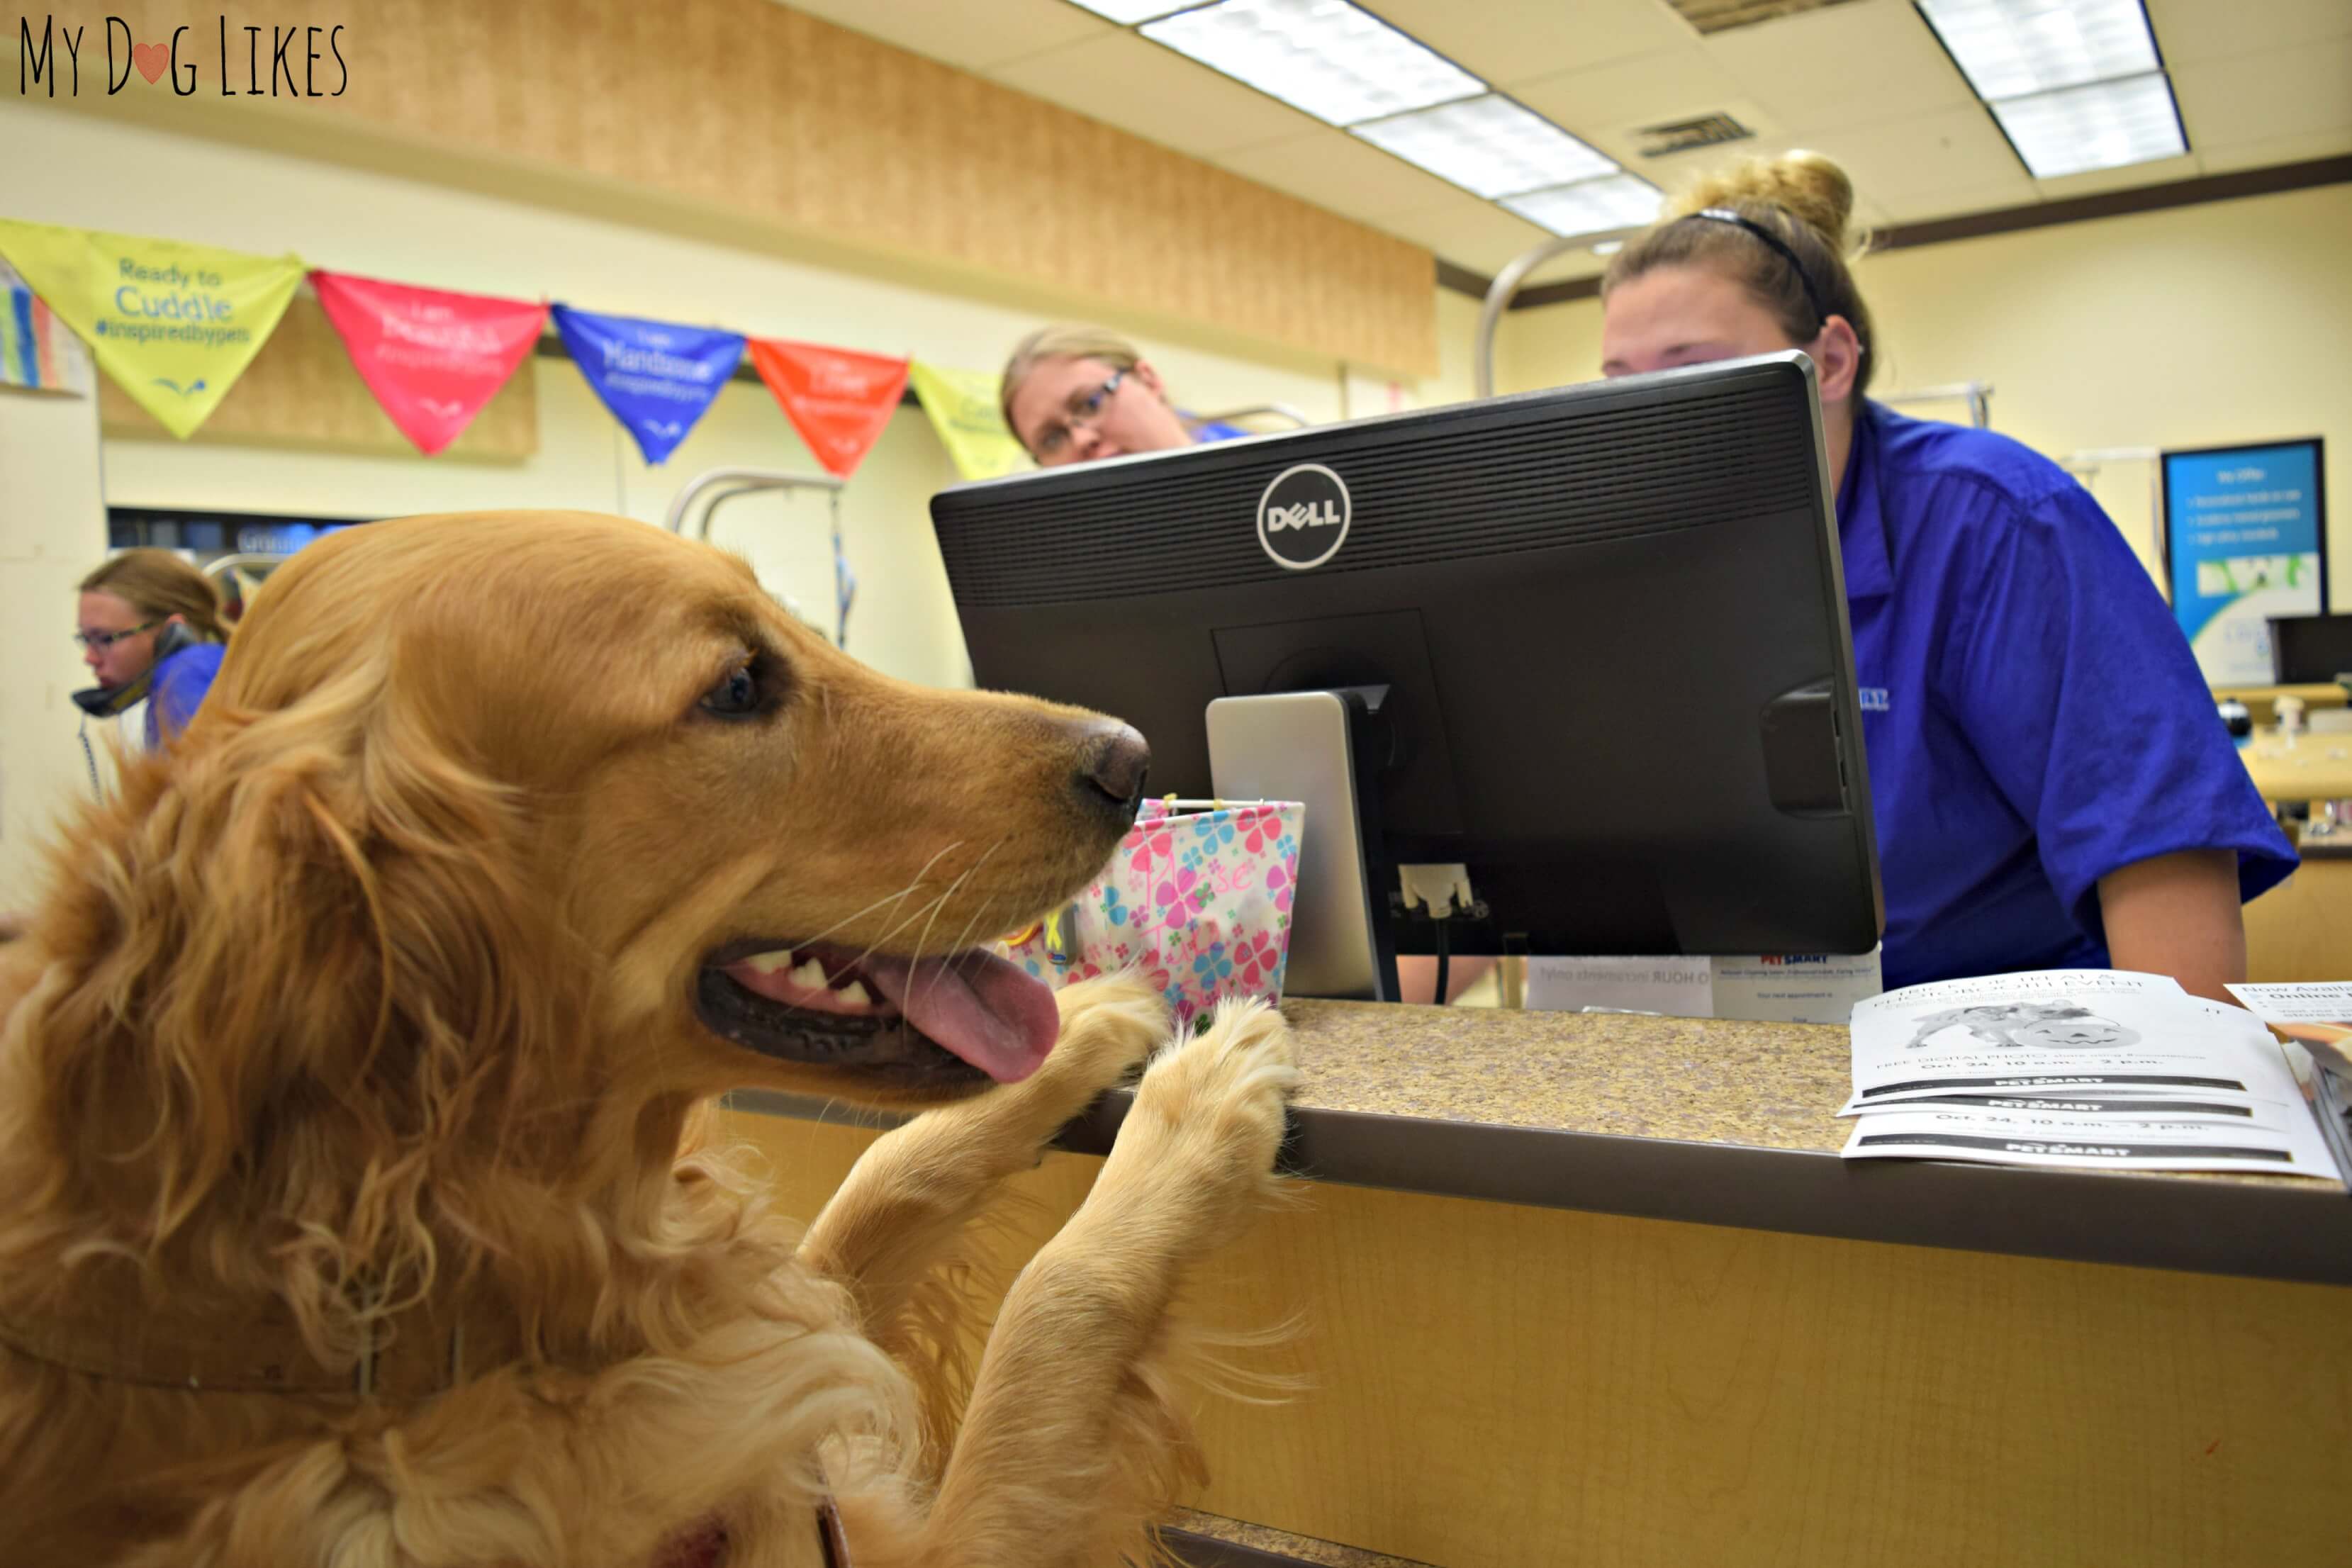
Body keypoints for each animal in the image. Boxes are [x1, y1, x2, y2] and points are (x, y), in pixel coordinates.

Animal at [0, 510, 1307, 1561]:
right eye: (734, 687)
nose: (1130, 760)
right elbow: (1051, 1301)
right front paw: (1196, 1112)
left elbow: (885, 1178)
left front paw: (1087, 1018)